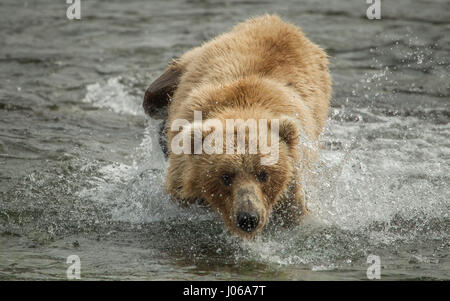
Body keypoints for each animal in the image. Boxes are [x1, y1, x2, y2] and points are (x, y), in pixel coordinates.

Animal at [143, 14, 330, 239]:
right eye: (225, 176)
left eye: (263, 174)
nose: (248, 218)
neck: (243, 109)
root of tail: (279, 21)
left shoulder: (293, 180)